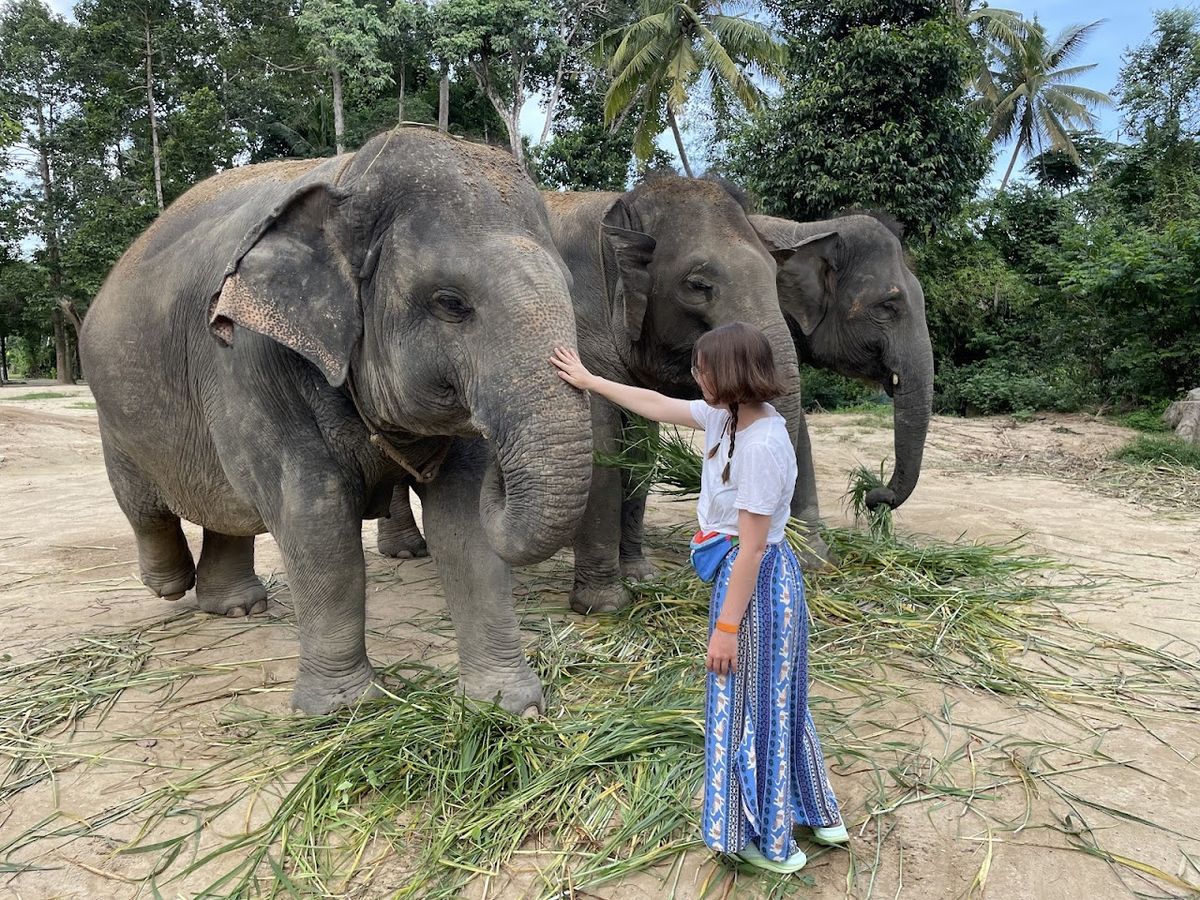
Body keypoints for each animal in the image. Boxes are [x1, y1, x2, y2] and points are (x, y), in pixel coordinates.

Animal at [79, 126, 593, 716]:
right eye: (451, 302)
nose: (502, 474)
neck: (351, 179)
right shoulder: (251, 360)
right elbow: (315, 517)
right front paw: (344, 711)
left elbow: (463, 519)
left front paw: (507, 707)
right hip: (113, 413)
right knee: (145, 503)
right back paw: (169, 584)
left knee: (225, 508)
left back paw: (236, 610)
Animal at [378, 176, 834, 609]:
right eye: (697, 284)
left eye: (775, 277)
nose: (814, 561)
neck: (618, 214)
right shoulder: (576, 325)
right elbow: (601, 445)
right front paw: (604, 604)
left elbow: (640, 449)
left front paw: (641, 576)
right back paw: (405, 552)